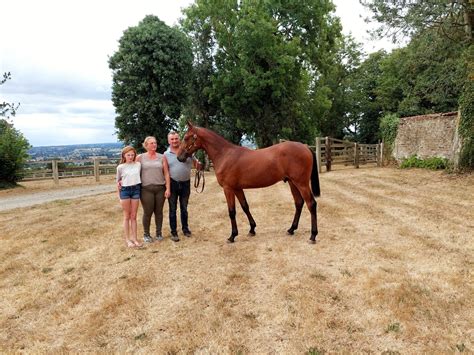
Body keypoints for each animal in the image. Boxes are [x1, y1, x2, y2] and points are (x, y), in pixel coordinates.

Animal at [178, 123, 322, 245]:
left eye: (186, 138)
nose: (179, 157)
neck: (224, 154)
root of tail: (305, 147)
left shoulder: (228, 189)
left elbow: (232, 211)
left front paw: (232, 236)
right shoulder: (237, 188)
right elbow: (245, 206)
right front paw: (252, 229)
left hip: (301, 183)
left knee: (311, 204)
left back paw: (313, 236)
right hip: (293, 183)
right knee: (299, 203)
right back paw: (291, 229)